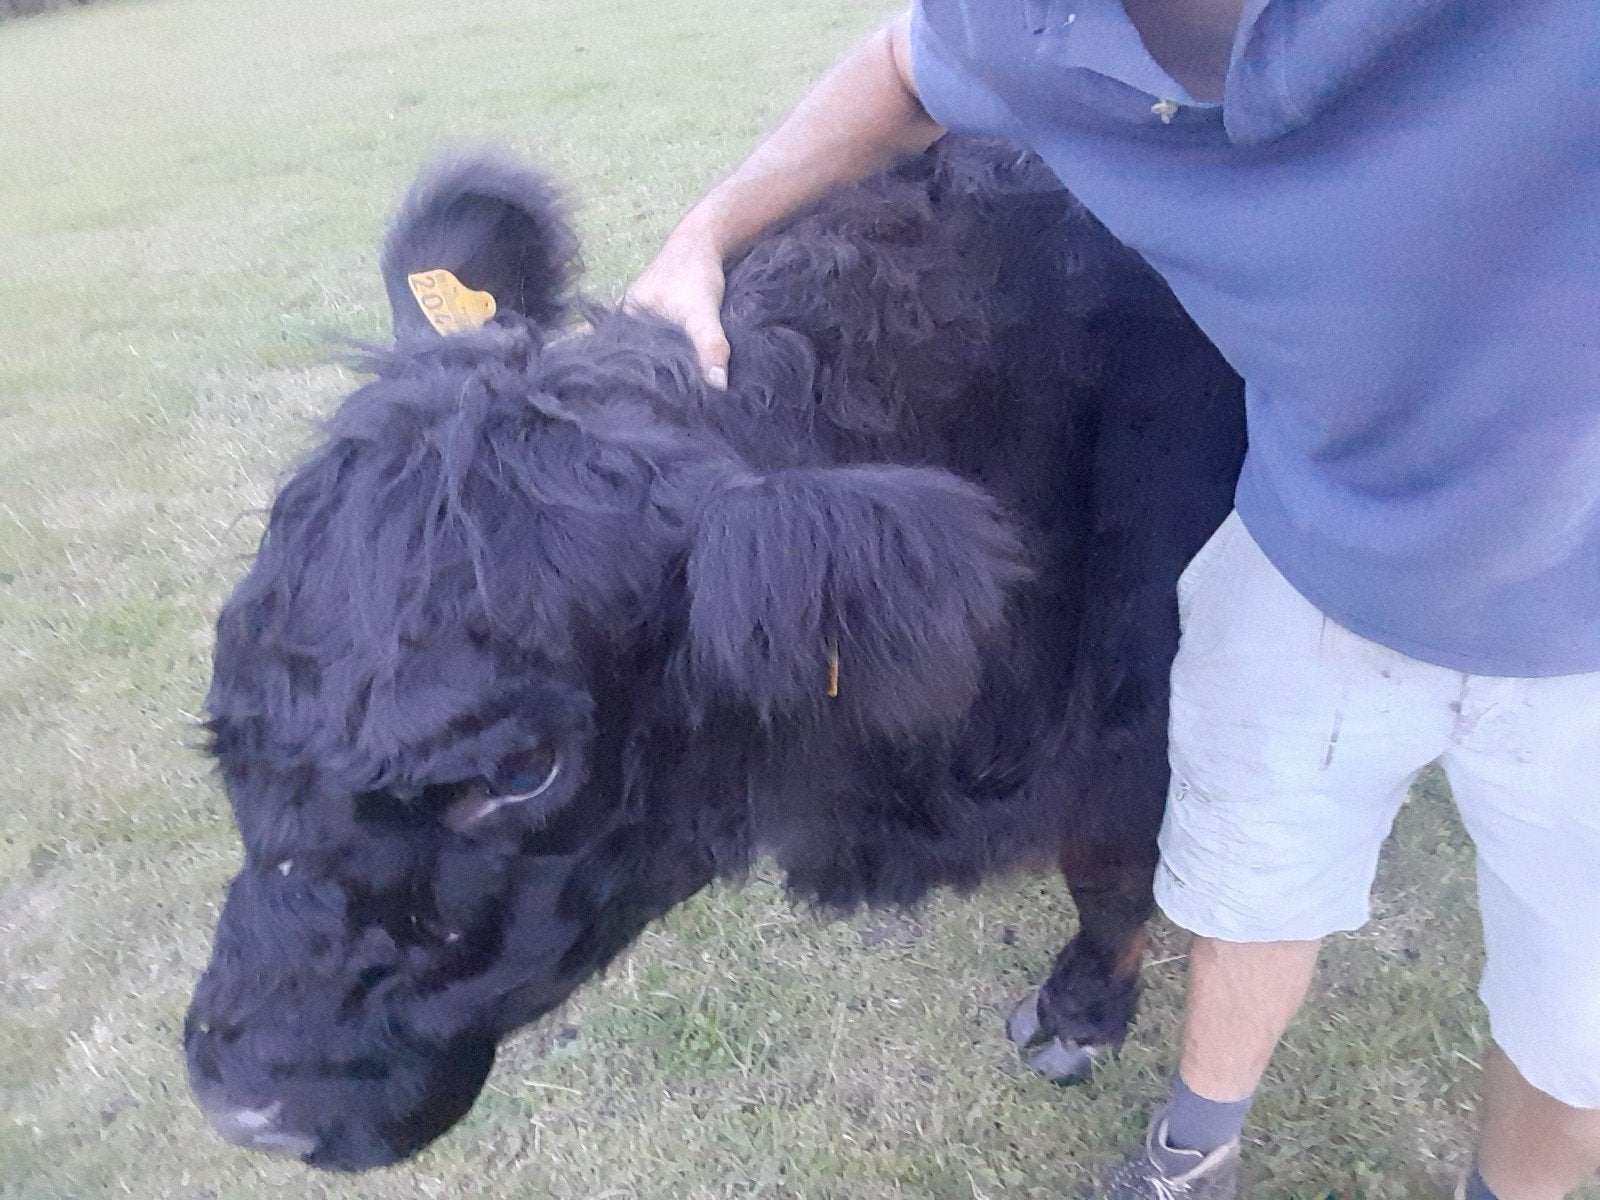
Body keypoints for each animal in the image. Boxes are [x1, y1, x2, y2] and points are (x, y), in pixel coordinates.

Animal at [183, 136, 1246, 1171]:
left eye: (523, 771)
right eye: (226, 715)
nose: (244, 1111)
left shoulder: (1141, 716)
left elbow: (1107, 869)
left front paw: (1078, 1016)